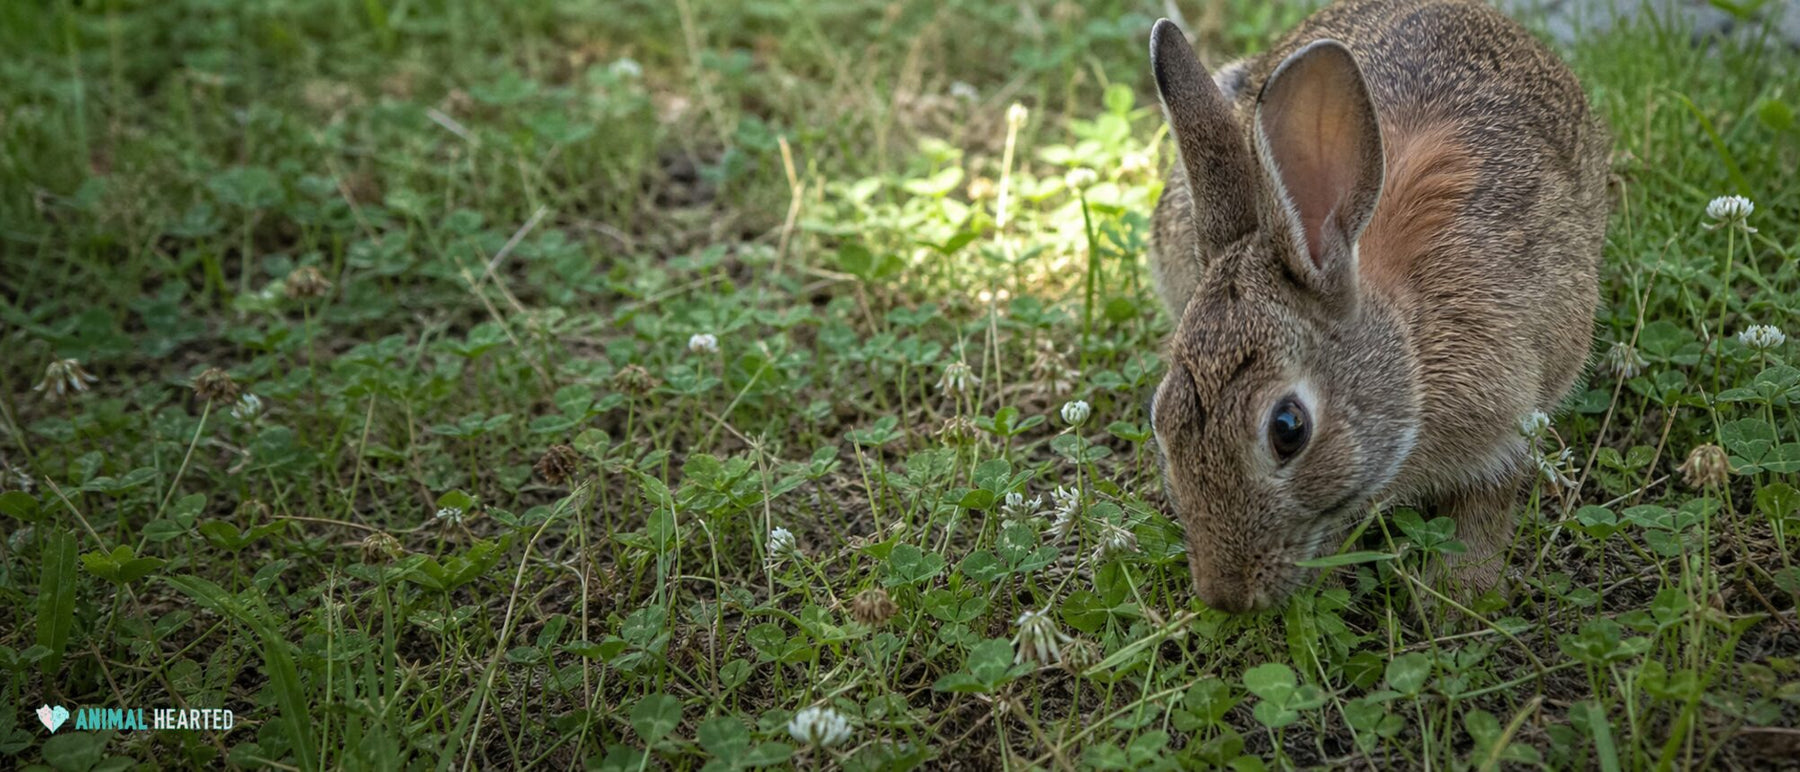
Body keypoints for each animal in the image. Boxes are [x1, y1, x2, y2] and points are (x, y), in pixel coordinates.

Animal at [1145, 0, 1609, 613]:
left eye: (1288, 429)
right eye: (1159, 414)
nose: (1225, 596)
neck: (1410, 344)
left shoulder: (1516, 413)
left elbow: (1489, 498)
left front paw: (1462, 591)